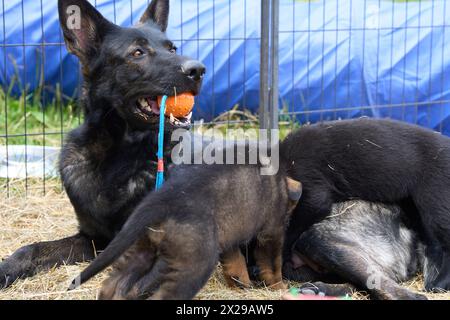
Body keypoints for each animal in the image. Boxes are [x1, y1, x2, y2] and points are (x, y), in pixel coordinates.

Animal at [0, 0, 204, 288]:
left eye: (172, 49)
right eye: (138, 52)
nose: (198, 70)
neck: (119, 158)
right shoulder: (93, 238)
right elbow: (33, 249)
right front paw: (6, 268)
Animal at [71, 162, 302, 300]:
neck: (281, 182)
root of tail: (160, 202)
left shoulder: (229, 240)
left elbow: (235, 266)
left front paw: (241, 285)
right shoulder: (271, 232)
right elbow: (273, 266)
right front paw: (280, 287)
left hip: (140, 250)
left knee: (112, 285)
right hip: (194, 265)